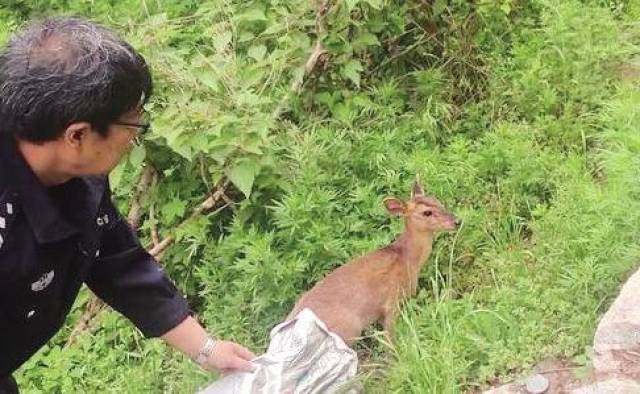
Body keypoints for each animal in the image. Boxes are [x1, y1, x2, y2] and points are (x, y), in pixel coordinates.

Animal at [286, 180, 460, 346]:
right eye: (427, 212)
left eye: (438, 201)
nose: (457, 221)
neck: (408, 259)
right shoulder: (392, 302)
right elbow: (390, 340)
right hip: (349, 329)